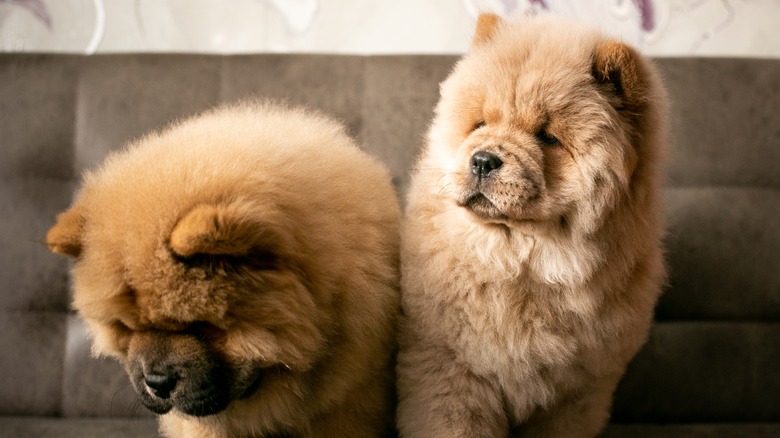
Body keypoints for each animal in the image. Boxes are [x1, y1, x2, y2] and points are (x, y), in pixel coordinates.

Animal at [400, 13, 668, 438]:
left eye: (547, 137)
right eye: (480, 123)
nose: (482, 160)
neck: (524, 264)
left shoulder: (576, 391)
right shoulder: (451, 370)